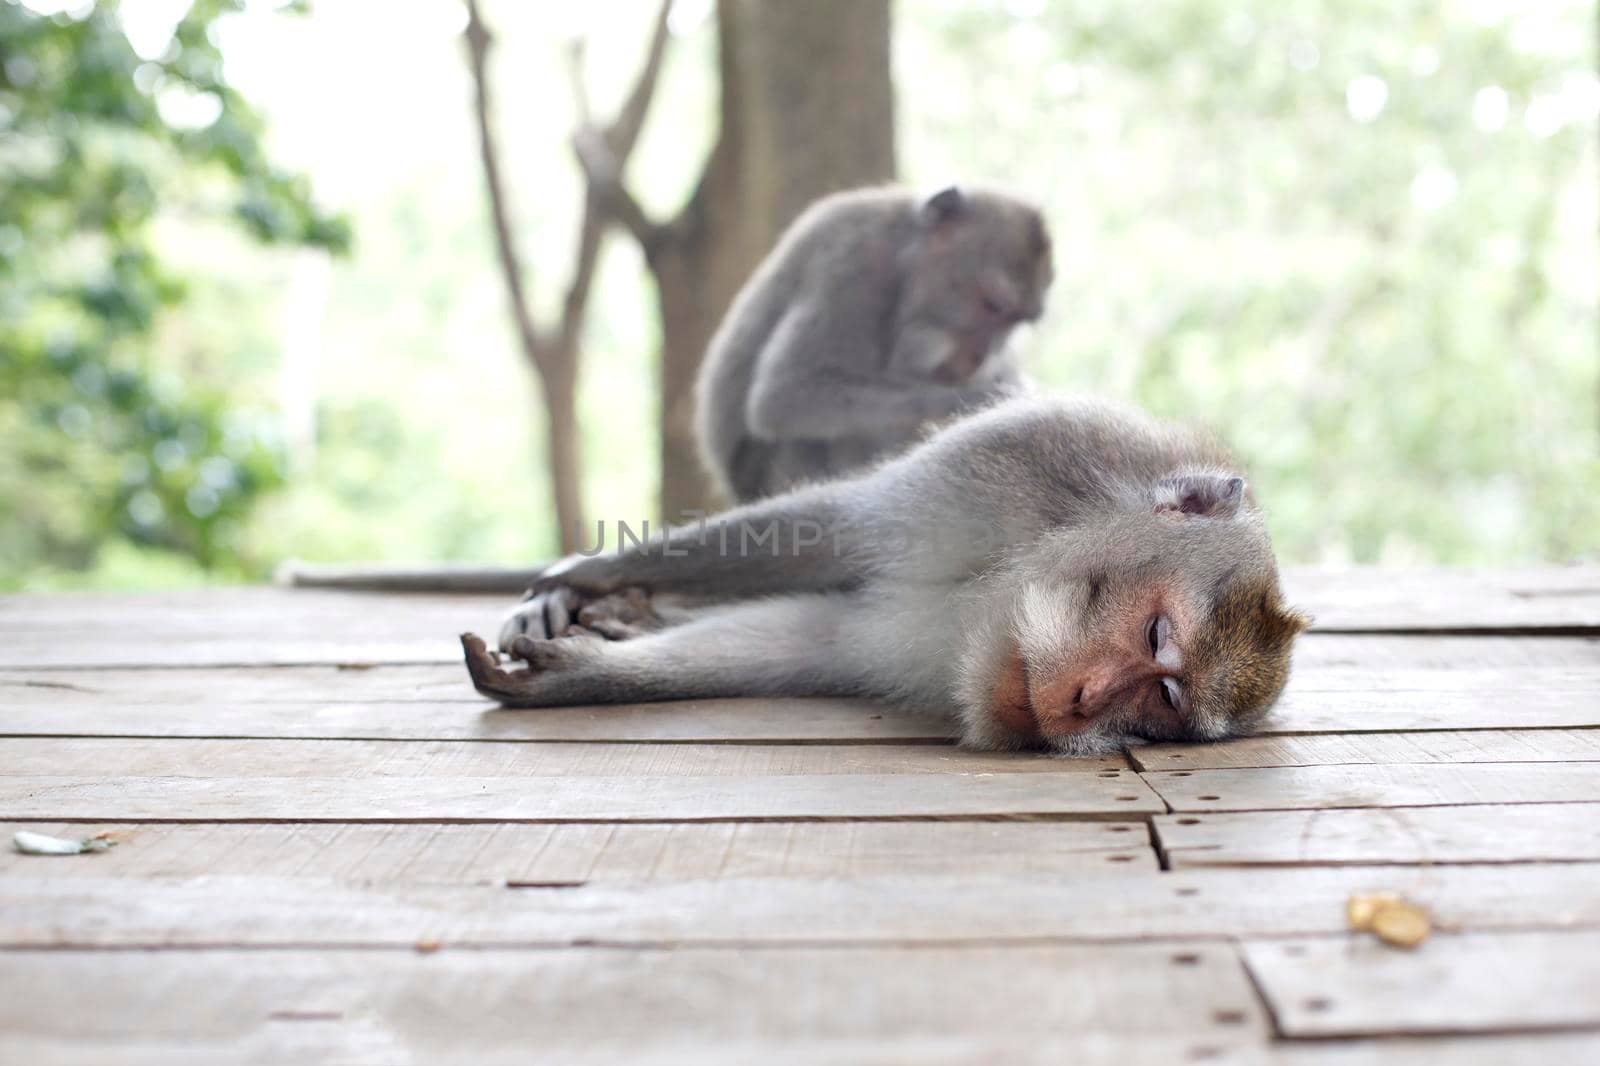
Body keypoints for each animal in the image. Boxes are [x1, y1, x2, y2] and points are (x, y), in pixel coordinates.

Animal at [457, 393, 1305, 752]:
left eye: (1161, 708)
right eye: (1156, 632)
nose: (1082, 705)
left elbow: (808, 639)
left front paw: (578, 672)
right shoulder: (1026, 459)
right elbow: (831, 531)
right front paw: (584, 573)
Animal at [697, 182, 1049, 499]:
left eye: (1016, 322)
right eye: (993, 306)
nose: (979, 356)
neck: (900, 263)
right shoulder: (850, 267)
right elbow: (785, 395)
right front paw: (982, 398)